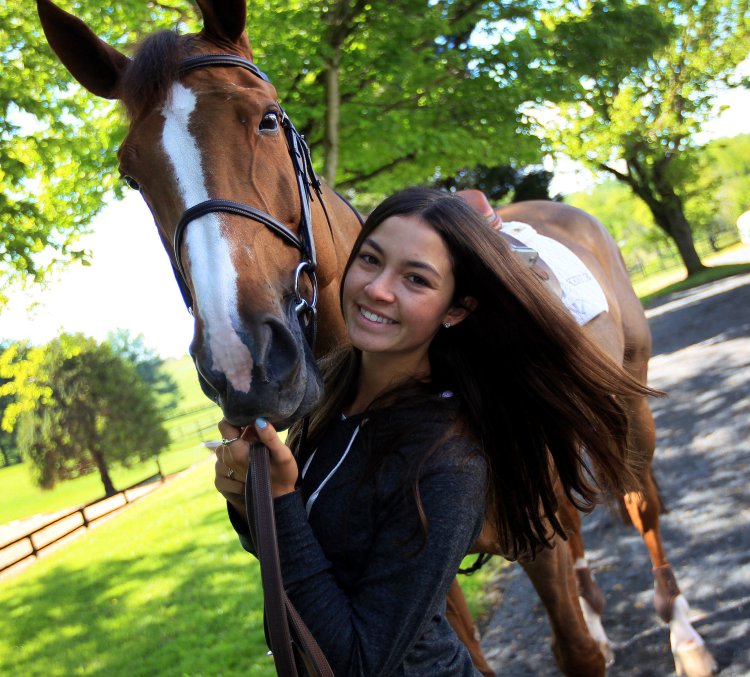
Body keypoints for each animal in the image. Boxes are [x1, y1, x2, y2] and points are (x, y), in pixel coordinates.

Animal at [36, 1, 716, 675]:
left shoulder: (529, 541)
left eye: (266, 119)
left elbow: (574, 648)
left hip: (629, 418)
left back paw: (684, 637)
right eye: (131, 174)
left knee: (642, 506)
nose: (243, 361)